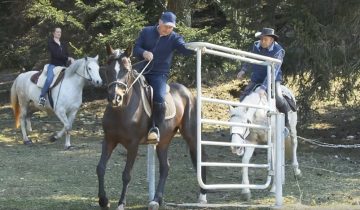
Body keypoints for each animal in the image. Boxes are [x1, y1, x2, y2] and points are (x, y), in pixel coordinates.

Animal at [97, 45, 207, 209]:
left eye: (126, 70)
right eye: (108, 69)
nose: (115, 98)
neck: (121, 110)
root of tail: (188, 93)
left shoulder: (133, 145)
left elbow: (126, 174)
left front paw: (121, 203)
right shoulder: (109, 140)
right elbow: (100, 168)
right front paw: (103, 200)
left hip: (192, 137)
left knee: (201, 159)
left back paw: (202, 196)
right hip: (163, 141)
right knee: (165, 167)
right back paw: (156, 200)